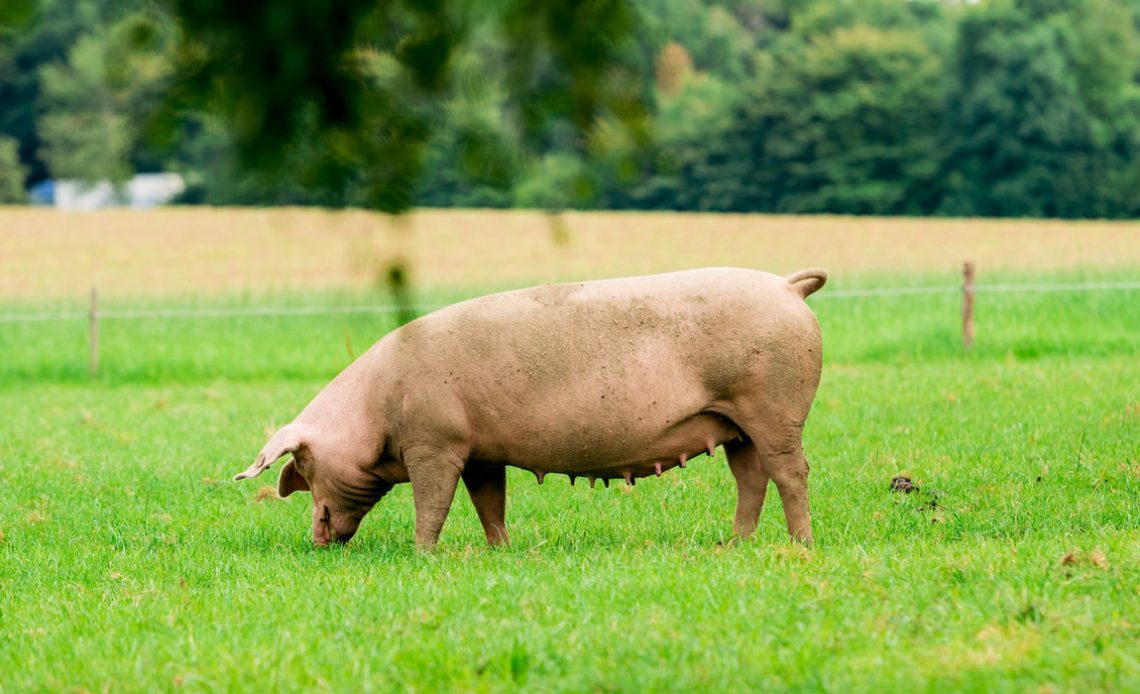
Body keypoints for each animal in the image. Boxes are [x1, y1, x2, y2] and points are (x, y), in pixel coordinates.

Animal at [231, 267, 825, 549]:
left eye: (303, 465)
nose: (317, 541)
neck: (376, 407)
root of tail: (787, 287)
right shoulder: (481, 452)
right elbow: (489, 503)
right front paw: (501, 549)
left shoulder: (435, 443)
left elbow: (433, 502)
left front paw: (424, 554)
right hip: (734, 423)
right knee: (750, 477)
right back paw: (734, 544)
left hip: (774, 405)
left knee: (790, 471)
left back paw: (801, 543)